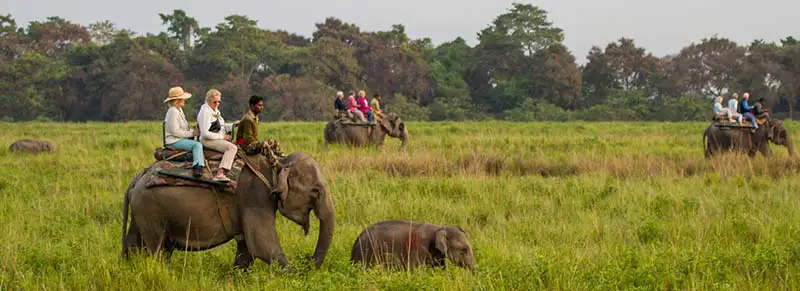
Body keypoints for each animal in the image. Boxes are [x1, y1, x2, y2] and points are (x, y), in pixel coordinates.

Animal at [120, 153, 336, 272]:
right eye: (316, 191)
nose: (307, 262)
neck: (277, 161)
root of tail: (137, 178)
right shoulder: (255, 195)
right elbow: (263, 245)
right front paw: (296, 274)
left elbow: (247, 249)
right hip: (150, 210)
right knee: (159, 250)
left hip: (141, 212)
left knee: (133, 245)